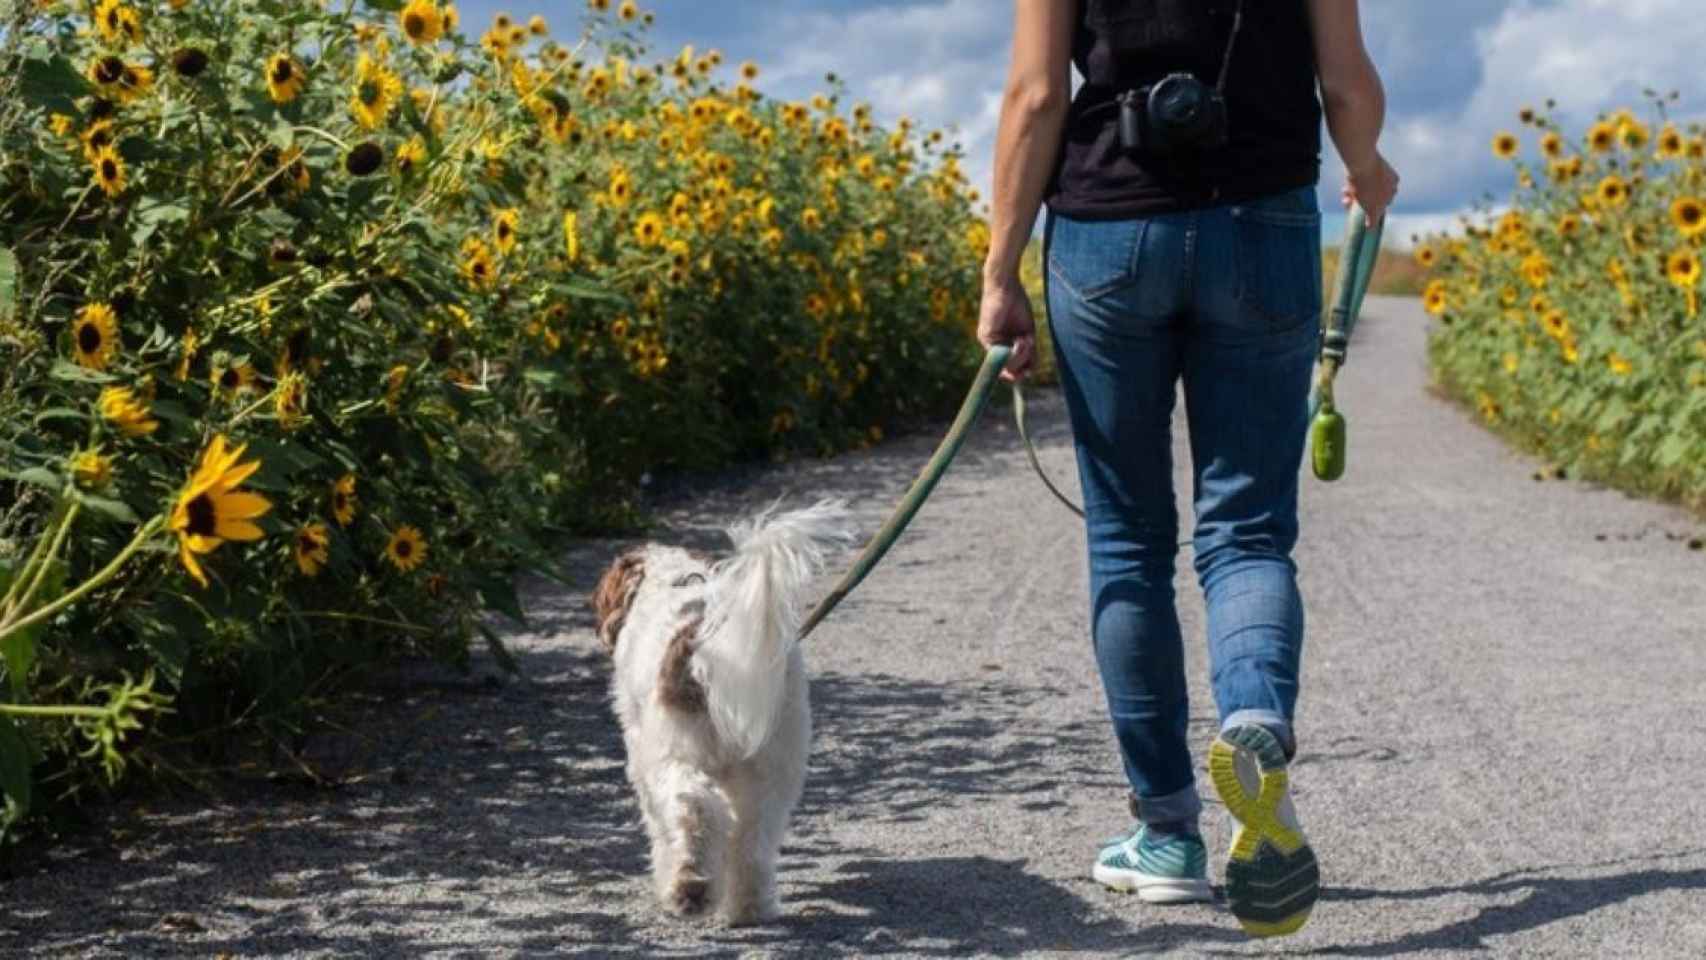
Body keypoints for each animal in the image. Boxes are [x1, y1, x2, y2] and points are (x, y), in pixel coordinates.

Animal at [590, 501, 853, 927]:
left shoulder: (642, 756)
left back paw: (689, 888)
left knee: (694, 809)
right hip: (773, 763)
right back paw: (749, 907)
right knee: (753, 839)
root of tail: (704, 642)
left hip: (676, 754)